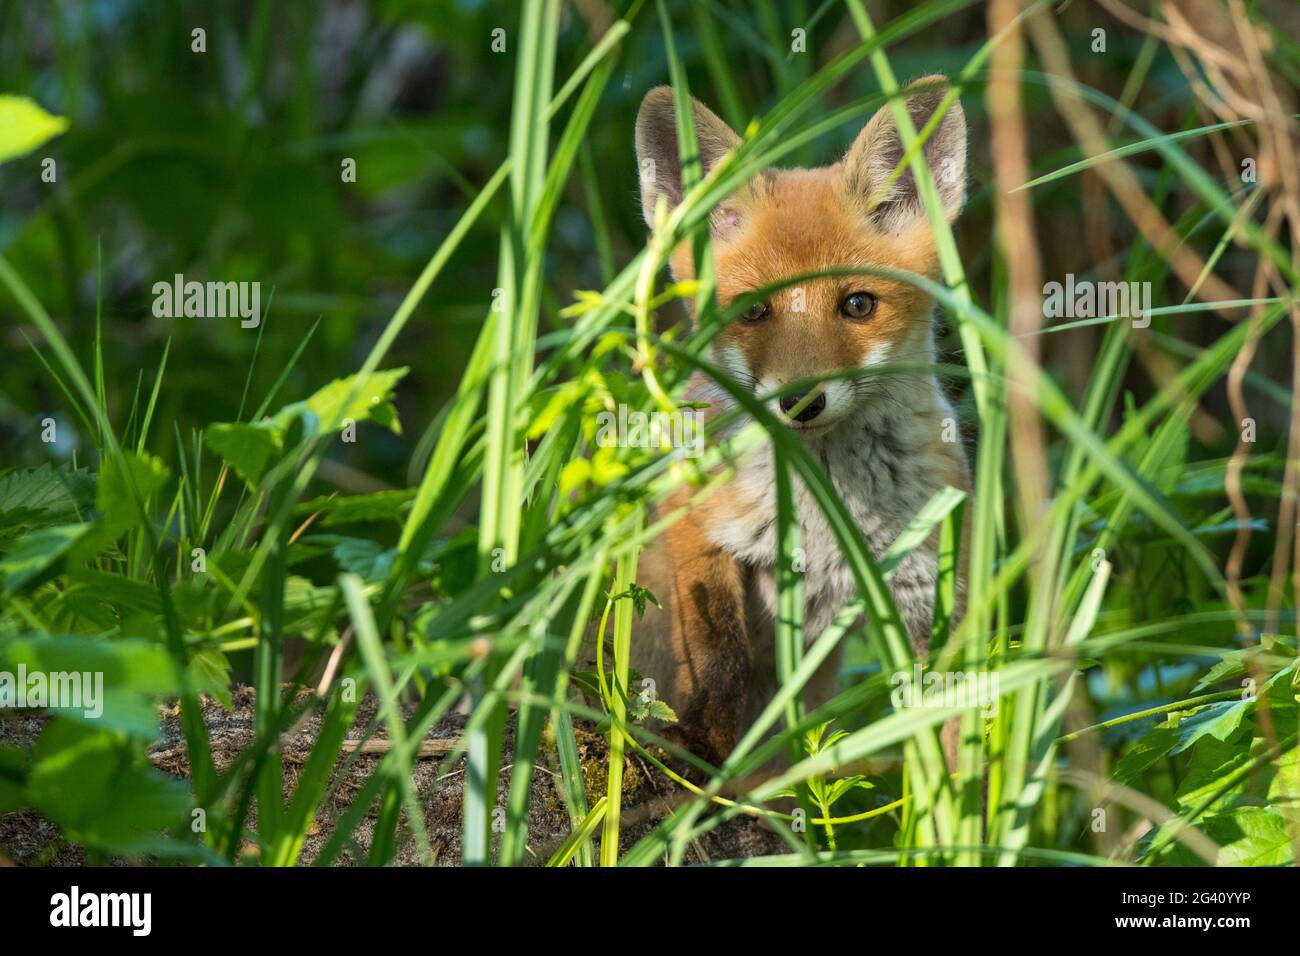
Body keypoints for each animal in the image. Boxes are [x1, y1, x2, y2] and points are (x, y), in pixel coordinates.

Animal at [625, 77, 972, 767]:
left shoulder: (927, 593)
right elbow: (720, 657)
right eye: (754, 312)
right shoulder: (692, 522)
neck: (821, 509)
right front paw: (701, 744)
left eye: (858, 304)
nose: (800, 401)